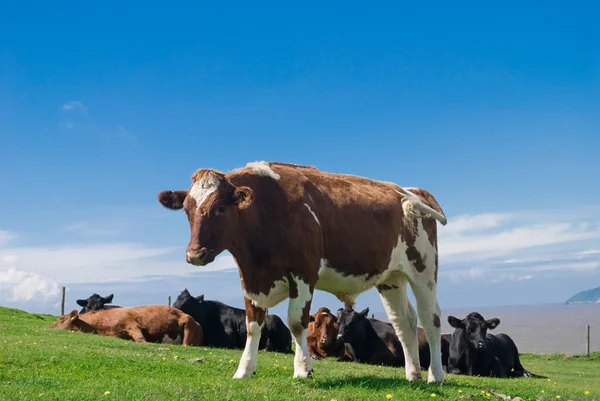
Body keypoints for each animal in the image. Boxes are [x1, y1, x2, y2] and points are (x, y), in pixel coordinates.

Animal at [157, 160, 448, 382]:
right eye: (187, 210)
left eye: (220, 208)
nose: (194, 255)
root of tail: (413, 190)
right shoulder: (250, 278)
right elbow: (253, 325)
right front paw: (244, 370)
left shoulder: (304, 273)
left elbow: (297, 322)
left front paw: (302, 370)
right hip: (391, 278)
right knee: (404, 323)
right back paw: (413, 375)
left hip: (424, 270)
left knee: (430, 320)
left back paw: (435, 376)